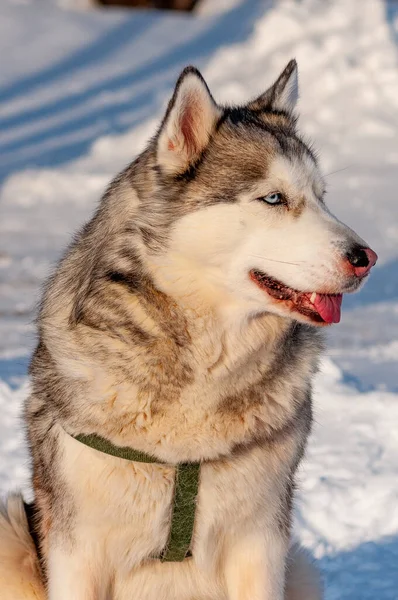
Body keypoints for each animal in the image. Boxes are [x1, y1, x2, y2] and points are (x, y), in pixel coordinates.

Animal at [0, 57, 376, 600]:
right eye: (274, 198)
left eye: (322, 198)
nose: (367, 258)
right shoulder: (77, 550)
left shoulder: (260, 542)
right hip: (12, 530)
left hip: (299, 564)